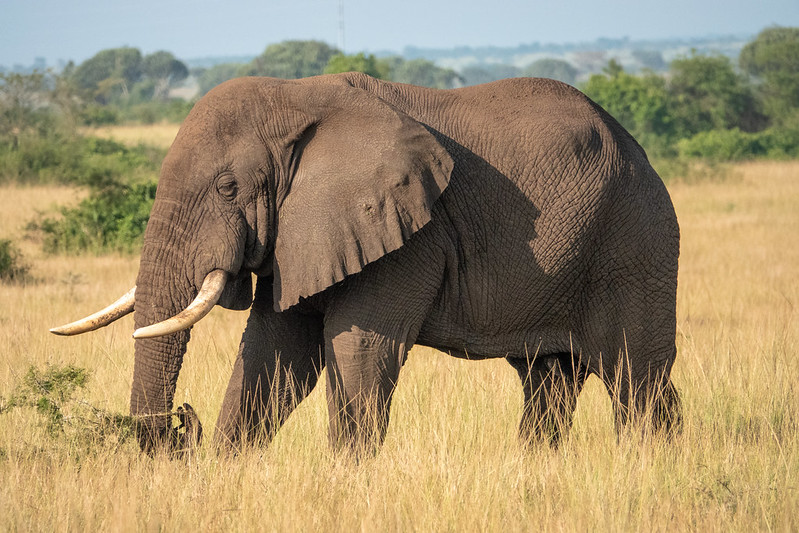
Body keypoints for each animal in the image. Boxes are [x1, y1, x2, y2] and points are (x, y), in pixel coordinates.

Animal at [52, 72, 681, 454]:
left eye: (228, 188)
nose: (183, 423)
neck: (297, 100)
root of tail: (641, 152)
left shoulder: (409, 233)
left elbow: (358, 347)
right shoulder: (303, 235)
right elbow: (277, 352)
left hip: (636, 242)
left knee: (635, 376)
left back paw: (647, 468)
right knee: (552, 380)